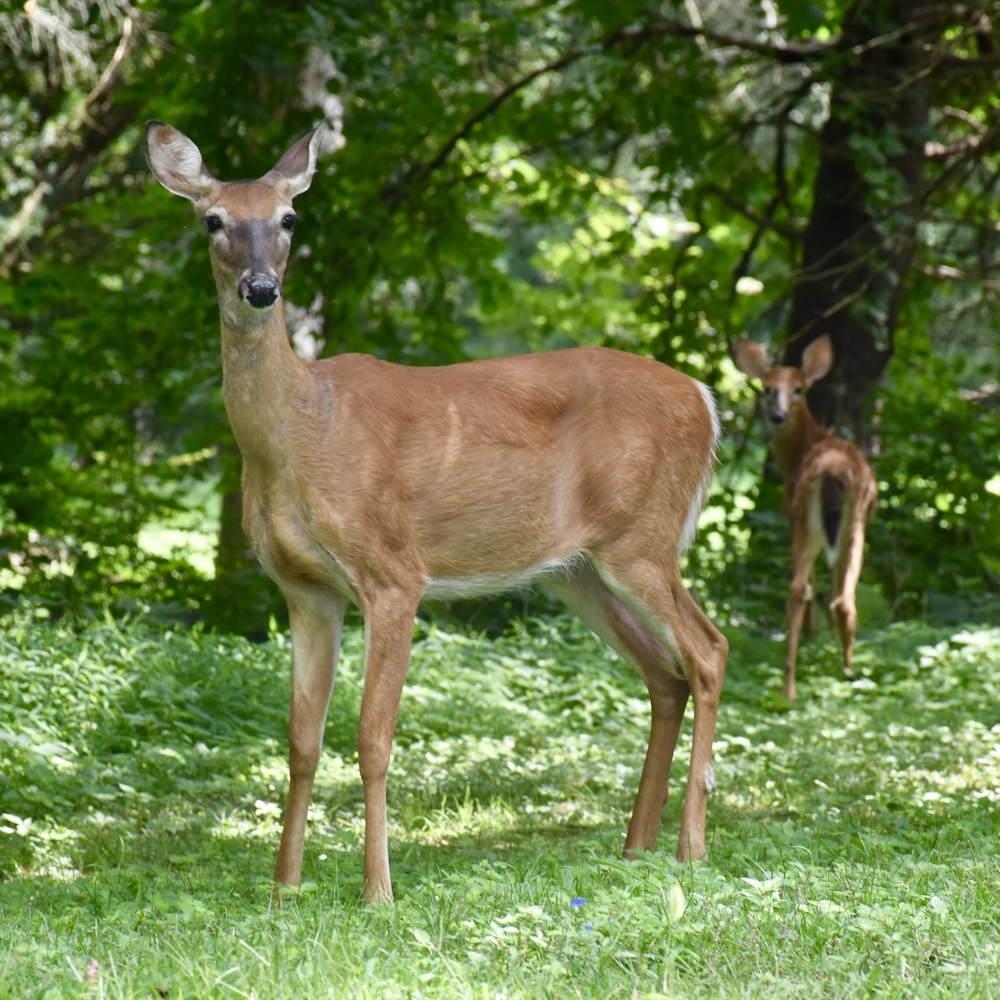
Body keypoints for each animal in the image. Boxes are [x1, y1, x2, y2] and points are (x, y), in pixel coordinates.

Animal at [146, 121, 728, 904]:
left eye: (290, 218)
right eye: (213, 221)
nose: (262, 289)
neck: (299, 433)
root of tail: (706, 399)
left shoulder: (394, 572)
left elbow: (372, 738)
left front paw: (377, 891)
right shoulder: (305, 589)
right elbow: (301, 741)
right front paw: (283, 887)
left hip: (643, 537)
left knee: (707, 650)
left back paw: (692, 850)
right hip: (575, 570)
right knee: (665, 675)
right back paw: (637, 850)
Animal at [736, 336, 876, 704]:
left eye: (798, 389)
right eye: (767, 387)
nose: (777, 415)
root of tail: (834, 471)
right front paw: (820, 635)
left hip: (828, 524)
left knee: (822, 593)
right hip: (839, 524)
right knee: (828, 593)